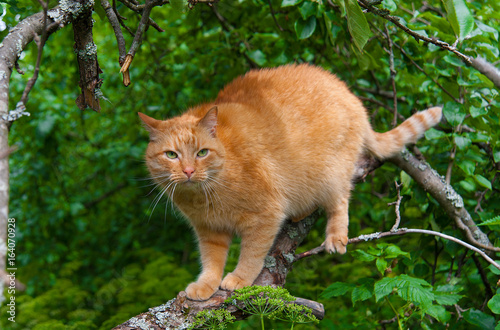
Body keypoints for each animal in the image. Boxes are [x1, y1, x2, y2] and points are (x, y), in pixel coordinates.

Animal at [139, 63, 444, 300]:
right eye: (171, 155)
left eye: (202, 152)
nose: (189, 171)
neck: (204, 194)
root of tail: (349, 95)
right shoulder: (208, 230)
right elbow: (211, 261)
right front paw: (206, 285)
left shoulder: (265, 216)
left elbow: (252, 254)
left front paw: (240, 279)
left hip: (331, 175)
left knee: (340, 202)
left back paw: (335, 237)